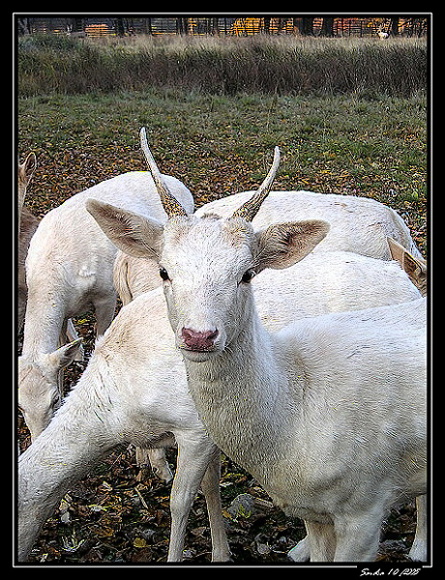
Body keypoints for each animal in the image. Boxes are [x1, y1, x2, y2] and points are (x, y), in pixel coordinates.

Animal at [19, 170, 194, 441]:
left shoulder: (106, 293)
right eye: (20, 407)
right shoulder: (62, 314)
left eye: (54, 400)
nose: (37, 438)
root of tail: (176, 181)